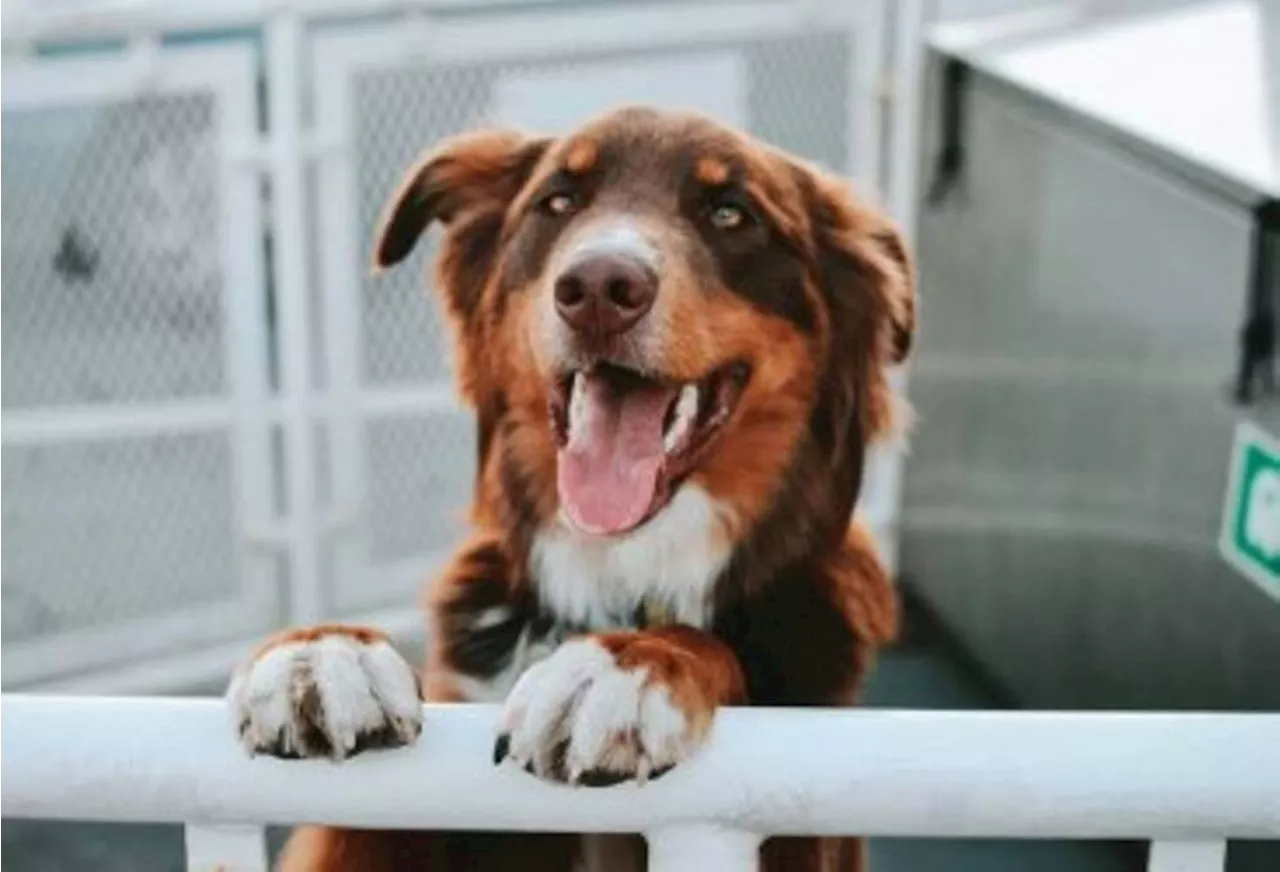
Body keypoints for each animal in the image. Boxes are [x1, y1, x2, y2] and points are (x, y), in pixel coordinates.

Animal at [227, 103, 911, 870]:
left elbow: (706, 649)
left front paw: (629, 664)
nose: (599, 290)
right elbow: (369, 817)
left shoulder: (800, 822)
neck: (621, 570)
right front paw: (324, 653)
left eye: (732, 213)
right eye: (557, 202)